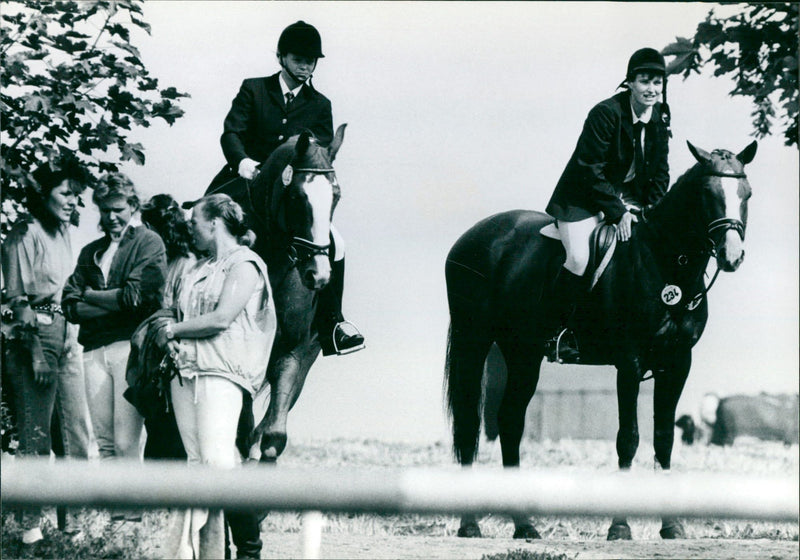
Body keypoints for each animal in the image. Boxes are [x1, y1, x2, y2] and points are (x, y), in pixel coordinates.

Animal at [208, 124, 346, 462]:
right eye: (297, 196)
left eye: (336, 196)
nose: (319, 275)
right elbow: (243, 429)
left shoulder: (293, 352)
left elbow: (273, 436)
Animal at [444, 140, 756, 540]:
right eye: (706, 193)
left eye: (746, 193)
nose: (732, 256)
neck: (665, 263)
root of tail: (472, 237)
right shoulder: (630, 363)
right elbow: (629, 439)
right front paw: (620, 526)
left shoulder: (677, 363)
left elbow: (663, 438)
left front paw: (671, 527)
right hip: (474, 340)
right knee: (471, 425)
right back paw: (470, 525)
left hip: (523, 353)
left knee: (511, 421)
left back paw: (525, 525)